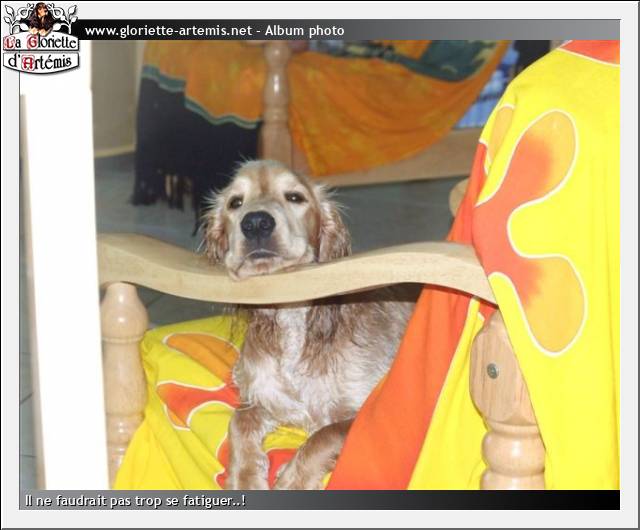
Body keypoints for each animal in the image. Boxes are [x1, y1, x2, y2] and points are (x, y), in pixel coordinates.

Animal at [204, 160, 416, 489]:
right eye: (235, 203)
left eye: (295, 197)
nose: (256, 223)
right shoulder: (263, 398)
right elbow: (239, 422)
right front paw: (245, 477)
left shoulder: (366, 410)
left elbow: (324, 435)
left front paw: (293, 480)